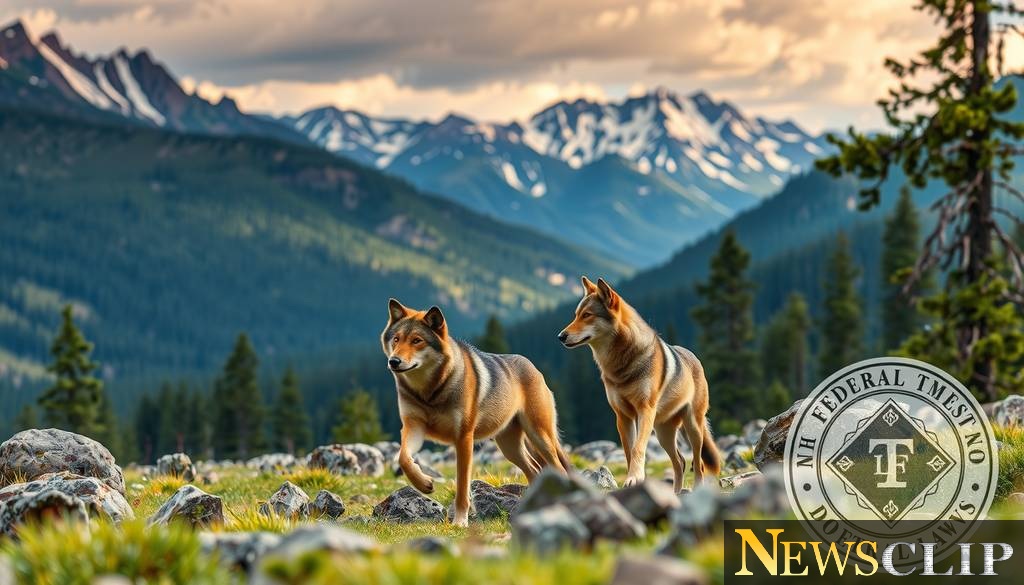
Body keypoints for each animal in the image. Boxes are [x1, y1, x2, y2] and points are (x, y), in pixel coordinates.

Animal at [382, 299, 571, 526]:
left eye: (417, 341)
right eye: (396, 340)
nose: (394, 361)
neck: (430, 391)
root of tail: (534, 368)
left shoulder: (464, 438)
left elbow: (463, 487)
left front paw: (460, 522)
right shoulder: (413, 426)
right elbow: (403, 458)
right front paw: (424, 483)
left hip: (539, 437)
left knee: (558, 469)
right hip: (510, 448)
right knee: (534, 470)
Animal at [557, 277, 720, 491]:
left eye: (587, 315)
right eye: (576, 315)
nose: (560, 336)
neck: (620, 365)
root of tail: (694, 357)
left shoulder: (645, 410)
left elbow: (638, 449)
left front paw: (634, 478)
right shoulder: (623, 416)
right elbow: (628, 452)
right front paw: (632, 480)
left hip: (692, 426)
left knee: (698, 463)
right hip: (663, 433)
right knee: (680, 462)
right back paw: (675, 493)